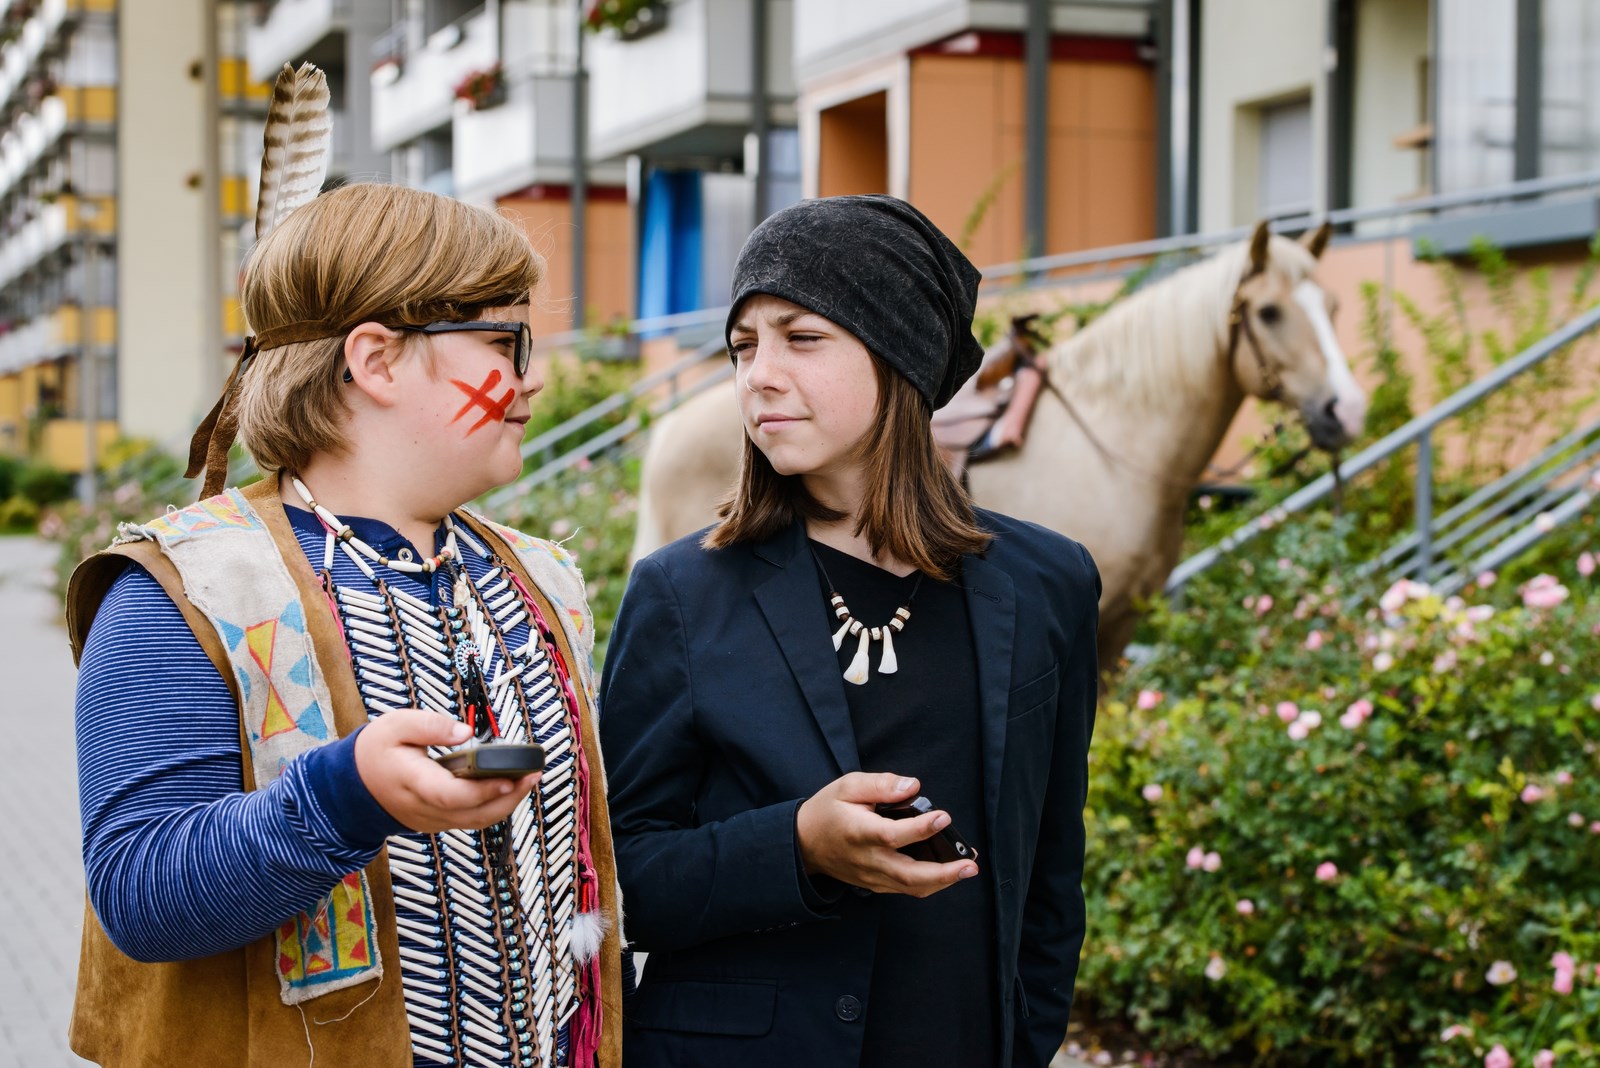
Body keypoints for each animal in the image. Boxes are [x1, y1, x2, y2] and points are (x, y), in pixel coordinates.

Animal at [624, 223, 1363, 674]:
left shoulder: (1118, 628)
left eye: (1334, 305)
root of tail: (665, 434)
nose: (1347, 409)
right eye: (1269, 312)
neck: (1113, 442)